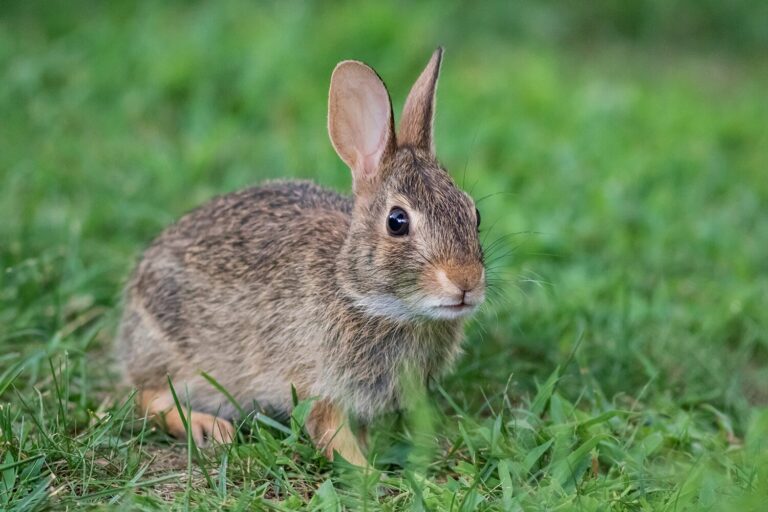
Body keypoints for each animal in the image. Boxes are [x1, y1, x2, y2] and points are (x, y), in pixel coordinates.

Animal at [116, 47, 485, 467]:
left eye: (474, 214)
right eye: (397, 221)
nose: (466, 282)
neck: (364, 297)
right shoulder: (319, 384)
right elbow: (331, 433)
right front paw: (369, 473)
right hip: (173, 354)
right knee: (147, 396)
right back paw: (207, 427)